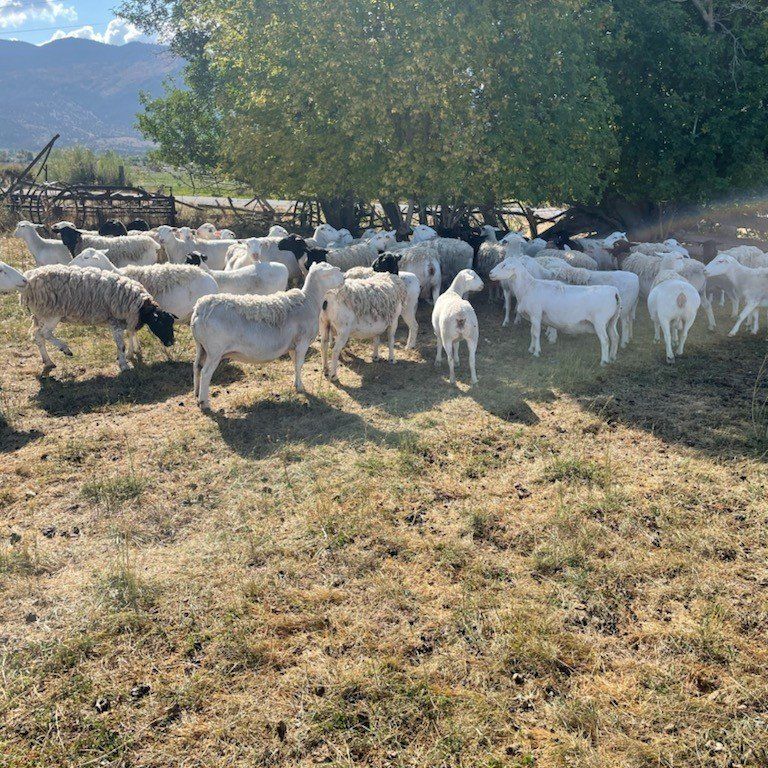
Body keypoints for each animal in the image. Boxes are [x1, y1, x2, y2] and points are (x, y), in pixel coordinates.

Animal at [0, 261, 175, 373]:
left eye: (171, 323)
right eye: (161, 324)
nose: (171, 343)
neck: (140, 306)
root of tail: (29, 280)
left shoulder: (127, 318)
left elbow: (131, 334)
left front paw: (132, 353)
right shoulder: (115, 320)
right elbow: (121, 344)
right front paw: (124, 364)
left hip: (41, 313)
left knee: (38, 335)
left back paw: (48, 361)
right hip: (53, 312)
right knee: (45, 333)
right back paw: (65, 349)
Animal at [190, 262, 344, 408]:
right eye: (333, 271)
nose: (344, 278)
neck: (310, 300)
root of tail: (200, 310)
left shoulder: (293, 345)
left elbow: (295, 364)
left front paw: (297, 384)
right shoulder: (303, 342)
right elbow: (300, 364)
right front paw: (300, 387)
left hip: (201, 347)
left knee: (197, 366)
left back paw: (197, 394)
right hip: (214, 350)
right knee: (206, 373)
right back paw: (204, 402)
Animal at [490, 256, 620, 365]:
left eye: (504, 265)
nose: (490, 273)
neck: (528, 287)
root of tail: (614, 292)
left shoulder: (536, 315)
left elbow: (536, 333)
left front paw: (537, 352)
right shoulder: (533, 317)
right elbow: (532, 333)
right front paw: (531, 349)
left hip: (600, 322)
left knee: (605, 340)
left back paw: (604, 361)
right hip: (612, 320)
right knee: (615, 337)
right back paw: (612, 357)